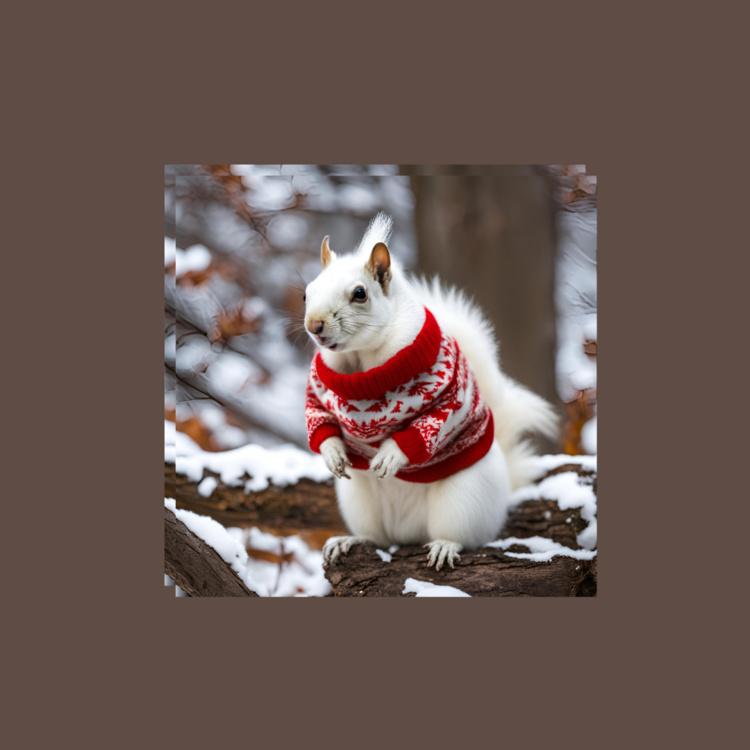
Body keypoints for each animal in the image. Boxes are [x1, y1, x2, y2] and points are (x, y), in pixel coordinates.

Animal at [302, 212, 560, 568]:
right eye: (307, 292)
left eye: (360, 293)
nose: (314, 325)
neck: (361, 364)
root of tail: (407, 530)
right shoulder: (318, 388)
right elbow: (317, 416)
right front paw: (332, 451)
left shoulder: (448, 395)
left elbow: (431, 425)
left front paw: (391, 455)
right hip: (359, 502)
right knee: (377, 538)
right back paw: (350, 540)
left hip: (462, 502)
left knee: (461, 535)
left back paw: (444, 546)